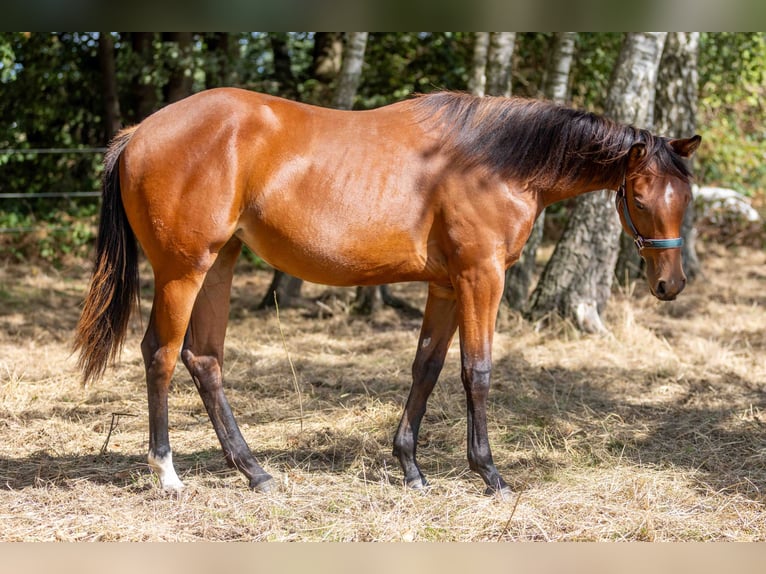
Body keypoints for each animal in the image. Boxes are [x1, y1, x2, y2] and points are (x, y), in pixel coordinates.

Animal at [74, 89, 700, 496]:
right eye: (640, 197)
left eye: (685, 197)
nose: (669, 283)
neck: (495, 162)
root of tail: (138, 134)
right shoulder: (481, 278)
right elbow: (477, 371)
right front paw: (489, 473)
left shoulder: (446, 287)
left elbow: (426, 367)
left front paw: (411, 468)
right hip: (183, 270)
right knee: (160, 355)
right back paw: (167, 474)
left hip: (219, 264)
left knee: (203, 359)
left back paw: (254, 471)